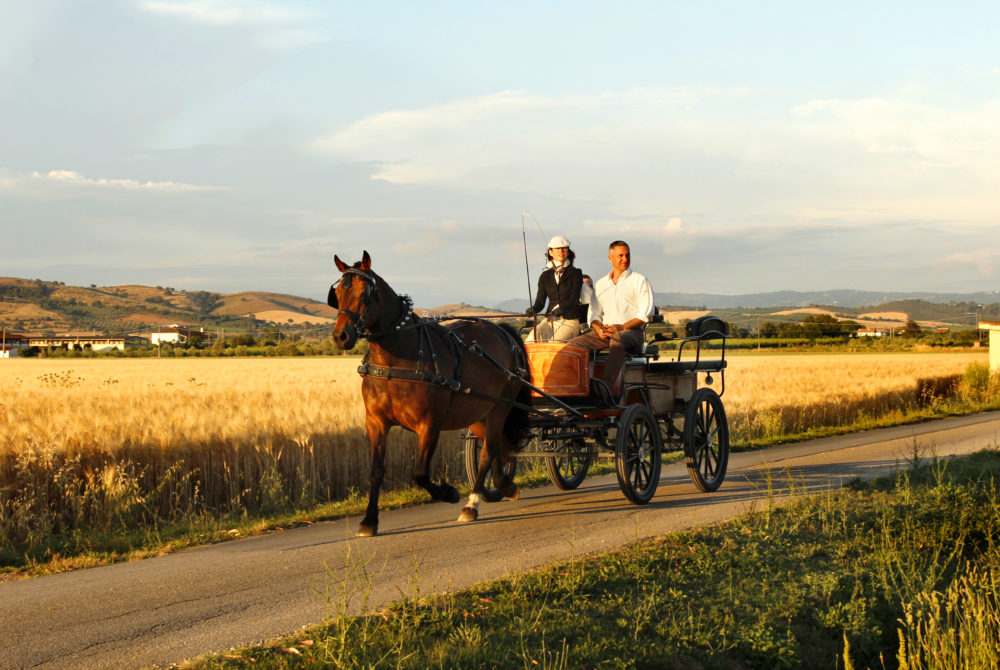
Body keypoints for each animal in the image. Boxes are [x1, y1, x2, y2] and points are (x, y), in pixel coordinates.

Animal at [328, 249, 532, 540]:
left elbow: (420, 474)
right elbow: (376, 471)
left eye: (364, 293)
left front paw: (449, 492)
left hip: (499, 408)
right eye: (337, 294)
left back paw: (471, 504)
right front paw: (369, 520)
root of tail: (504, 332)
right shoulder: (376, 422)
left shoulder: (429, 424)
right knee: (493, 449)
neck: (397, 361)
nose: (341, 336)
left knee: (488, 451)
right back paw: (504, 485)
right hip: (477, 414)